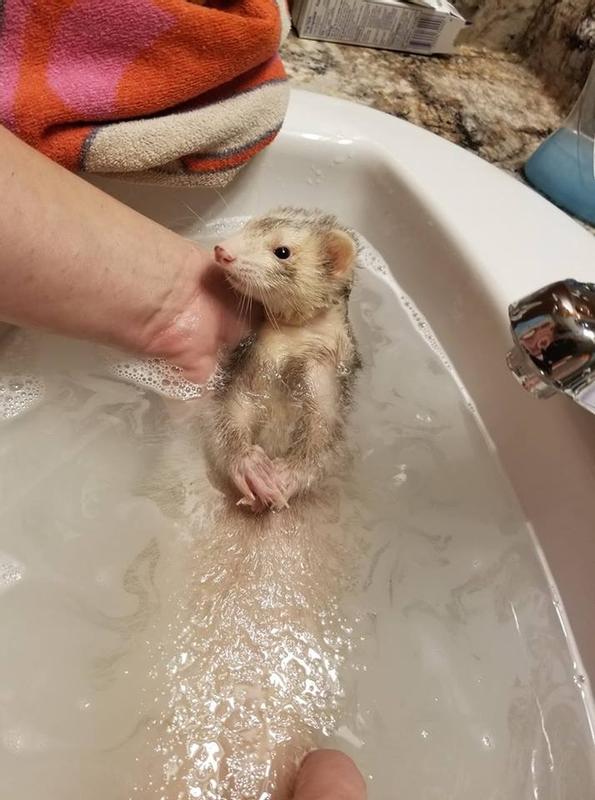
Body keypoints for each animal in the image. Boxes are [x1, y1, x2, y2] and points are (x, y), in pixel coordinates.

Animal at [205, 207, 361, 513]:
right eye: (250, 224)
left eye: (283, 251)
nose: (222, 250)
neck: (292, 347)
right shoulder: (249, 369)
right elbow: (231, 416)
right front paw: (251, 467)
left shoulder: (328, 385)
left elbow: (321, 443)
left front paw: (286, 476)